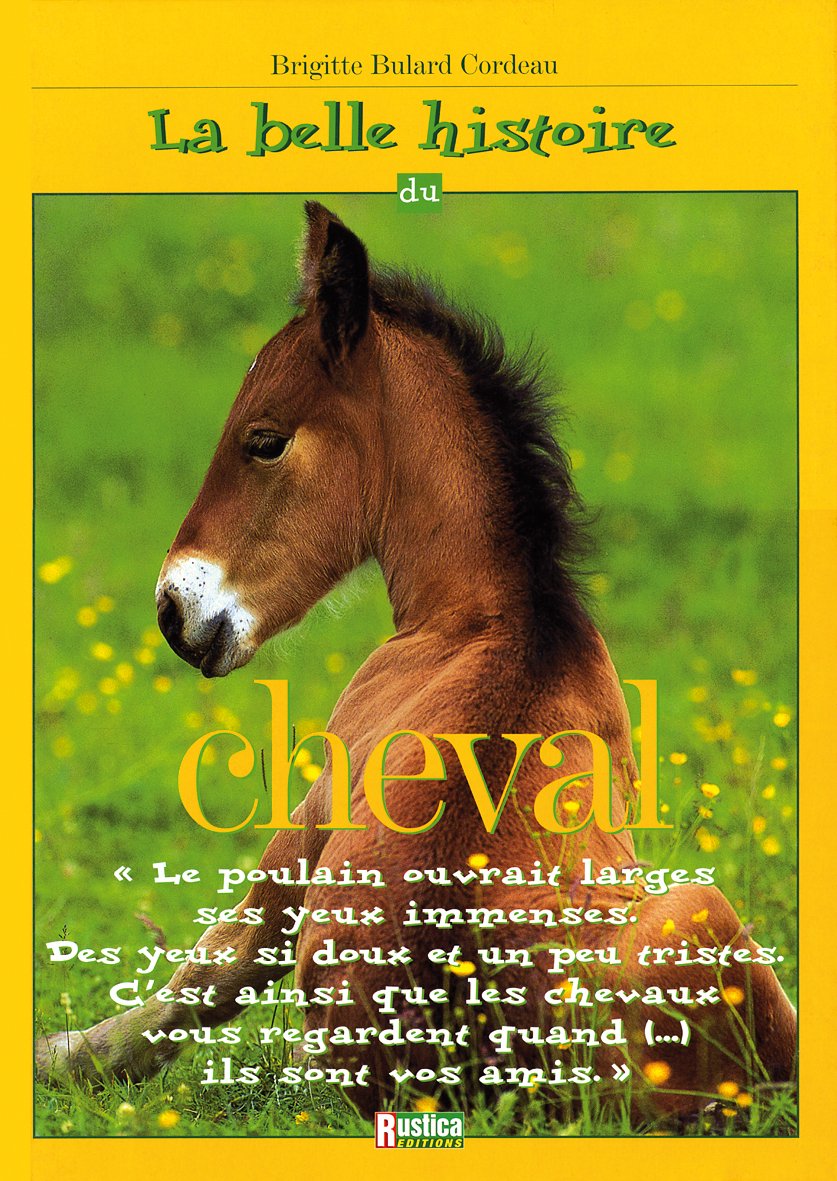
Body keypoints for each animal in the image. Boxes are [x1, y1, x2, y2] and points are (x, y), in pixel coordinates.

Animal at [37, 201, 796, 1123]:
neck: (497, 620)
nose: (174, 611)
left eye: (264, 440)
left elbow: (218, 960)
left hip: (697, 904)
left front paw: (62, 1055)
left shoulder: (308, 815)